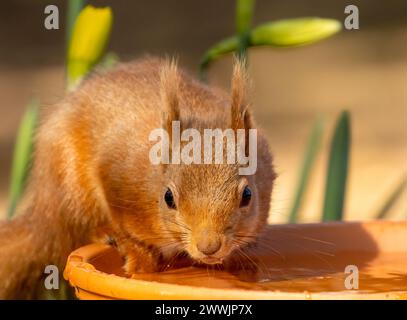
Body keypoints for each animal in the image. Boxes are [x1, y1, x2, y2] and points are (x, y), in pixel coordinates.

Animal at [0, 57, 278, 298]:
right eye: (168, 198)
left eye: (247, 195)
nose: (209, 246)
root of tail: (42, 213)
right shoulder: (115, 175)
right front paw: (136, 254)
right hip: (69, 183)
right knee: (74, 227)